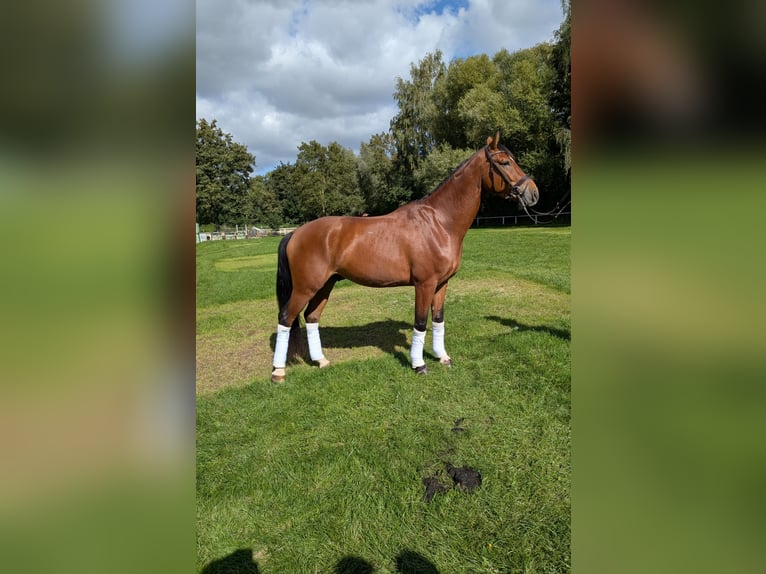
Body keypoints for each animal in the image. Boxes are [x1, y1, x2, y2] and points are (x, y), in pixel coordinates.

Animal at [270, 132, 539, 383]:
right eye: (504, 162)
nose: (533, 193)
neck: (439, 222)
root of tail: (295, 233)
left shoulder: (441, 284)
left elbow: (438, 320)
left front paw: (443, 357)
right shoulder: (424, 284)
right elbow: (420, 323)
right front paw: (419, 365)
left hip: (325, 285)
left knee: (311, 317)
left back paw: (321, 361)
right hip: (305, 287)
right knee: (286, 318)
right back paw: (278, 372)